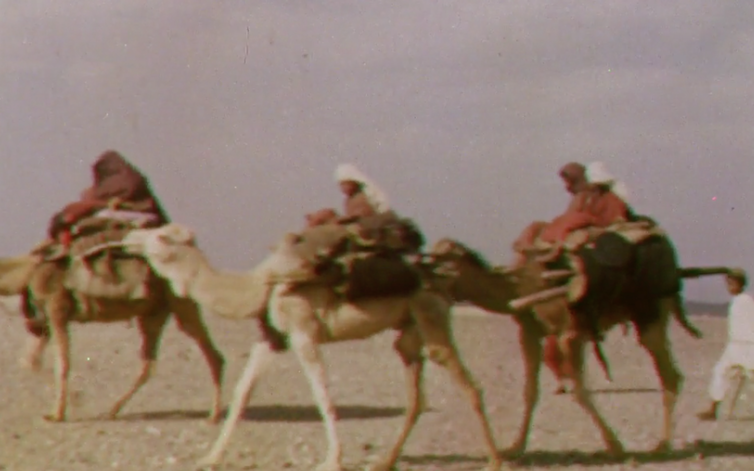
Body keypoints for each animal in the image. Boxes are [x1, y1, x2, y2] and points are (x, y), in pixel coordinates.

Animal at [0, 243, 225, 424]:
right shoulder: (44, 320)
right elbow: (29, 361)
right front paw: (75, 400)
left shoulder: (57, 309)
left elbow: (62, 364)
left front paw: (59, 414)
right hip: (153, 314)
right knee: (148, 363)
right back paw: (112, 411)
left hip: (181, 303)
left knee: (211, 353)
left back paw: (214, 416)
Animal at [114, 224, 502, 471]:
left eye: (162, 234)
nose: (129, 237)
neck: (260, 286)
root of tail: (441, 273)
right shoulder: (271, 337)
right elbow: (243, 392)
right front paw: (210, 457)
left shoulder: (304, 334)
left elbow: (321, 394)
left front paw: (333, 460)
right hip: (408, 330)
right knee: (416, 395)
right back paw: (386, 461)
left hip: (430, 313)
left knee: (468, 384)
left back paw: (496, 460)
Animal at [426, 238, 720, 460]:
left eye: (440, 259)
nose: (424, 277)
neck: (520, 286)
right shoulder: (529, 331)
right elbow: (530, 391)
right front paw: (515, 448)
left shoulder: (571, 334)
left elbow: (580, 392)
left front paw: (615, 446)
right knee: (672, 374)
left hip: (650, 313)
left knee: (670, 375)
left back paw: (662, 445)